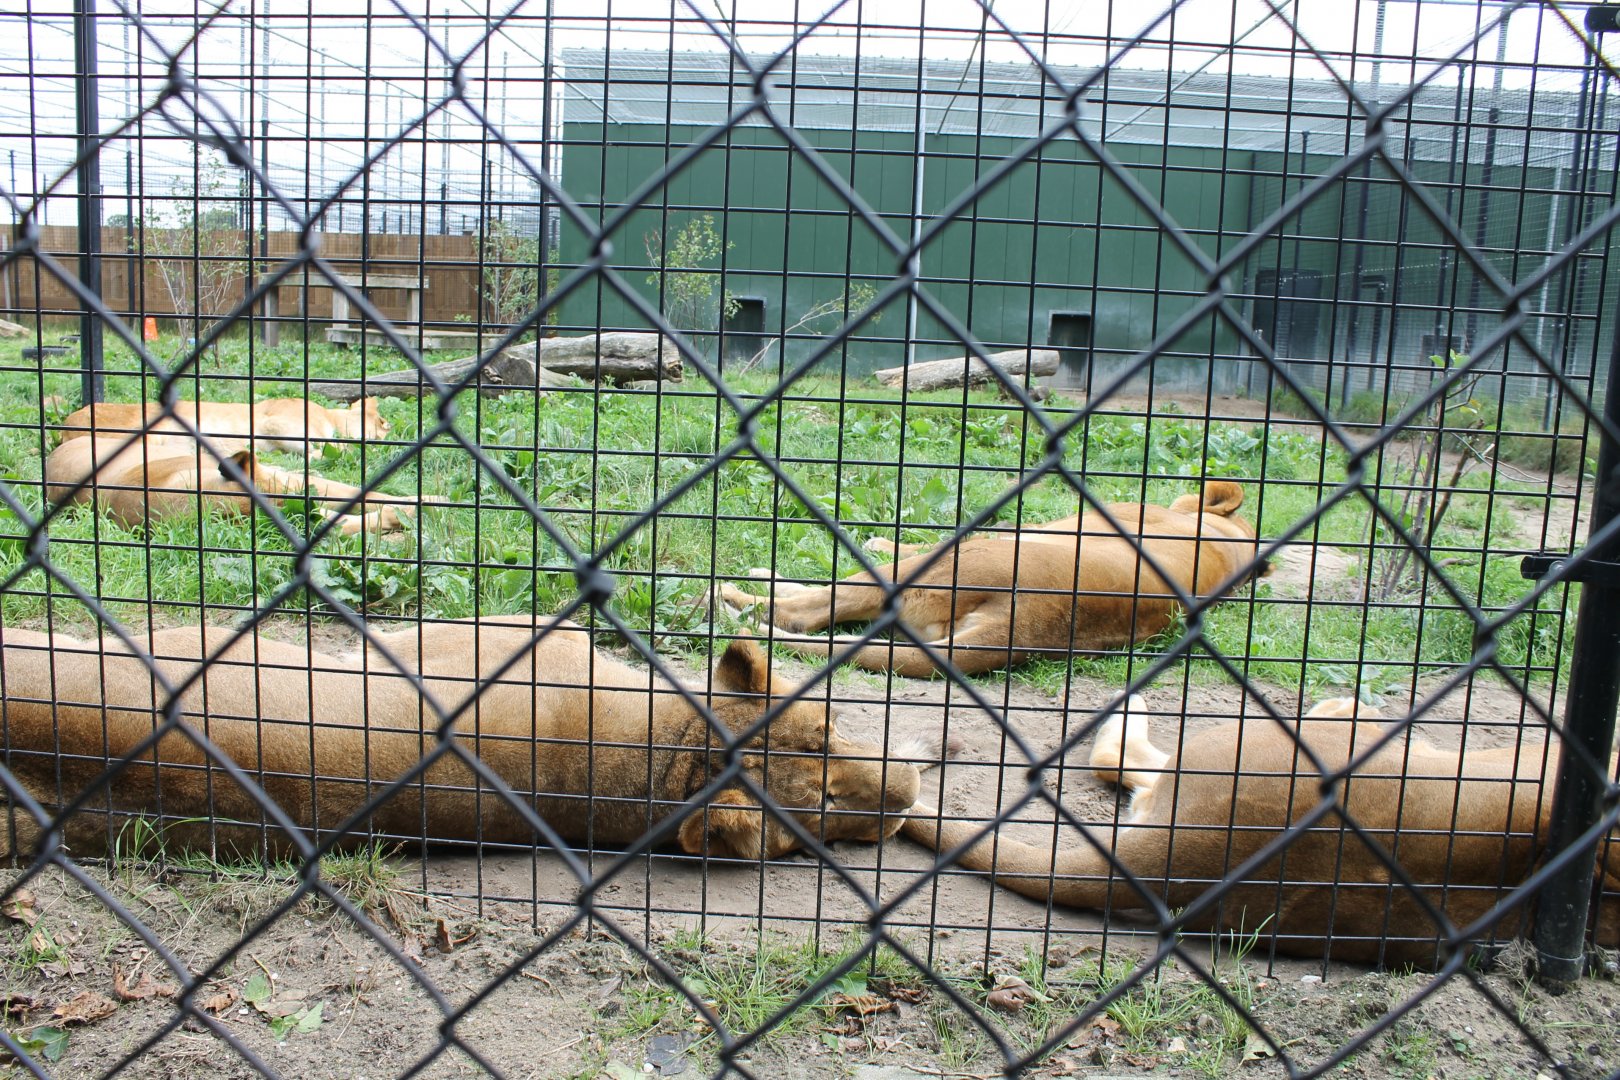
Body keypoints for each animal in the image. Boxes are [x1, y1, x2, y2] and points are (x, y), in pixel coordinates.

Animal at [716, 480, 1266, 676]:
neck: (1224, 540)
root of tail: (1025, 630)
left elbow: (905, 544)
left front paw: (875, 541)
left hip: (957, 560)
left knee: (806, 612)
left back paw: (729, 595)